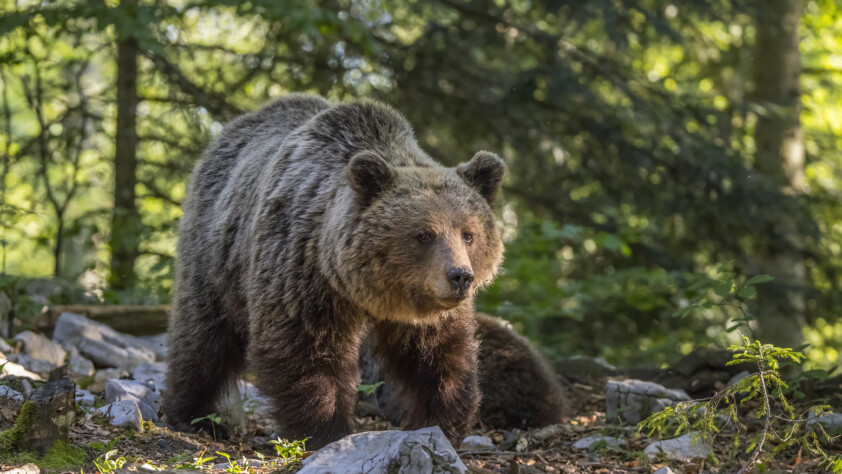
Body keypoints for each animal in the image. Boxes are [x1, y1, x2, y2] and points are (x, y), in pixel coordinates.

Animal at [163, 94, 506, 449]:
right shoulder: (302, 272)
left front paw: (439, 423)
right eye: (424, 234)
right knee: (204, 336)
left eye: (468, 234)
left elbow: (438, 356)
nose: (460, 276)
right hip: (217, 254)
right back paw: (194, 415)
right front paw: (326, 430)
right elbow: (304, 350)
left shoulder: (425, 308)